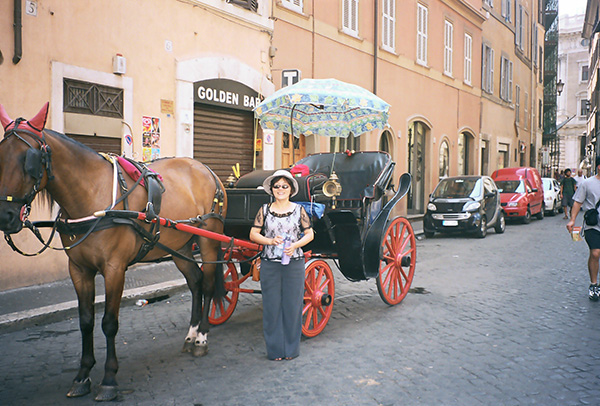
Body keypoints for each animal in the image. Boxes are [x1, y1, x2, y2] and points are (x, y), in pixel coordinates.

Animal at [0, 103, 228, 401]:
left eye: (30, 160)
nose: (5, 216)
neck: (90, 196)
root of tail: (206, 169)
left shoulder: (115, 268)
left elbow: (109, 322)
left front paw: (109, 379)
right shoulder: (79, 270)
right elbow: (86, 320)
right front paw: (83, 375)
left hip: (209, 240)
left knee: (210, 283)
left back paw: (201, 337)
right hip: (179, 246)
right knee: (196, 282)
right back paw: (191, 334)